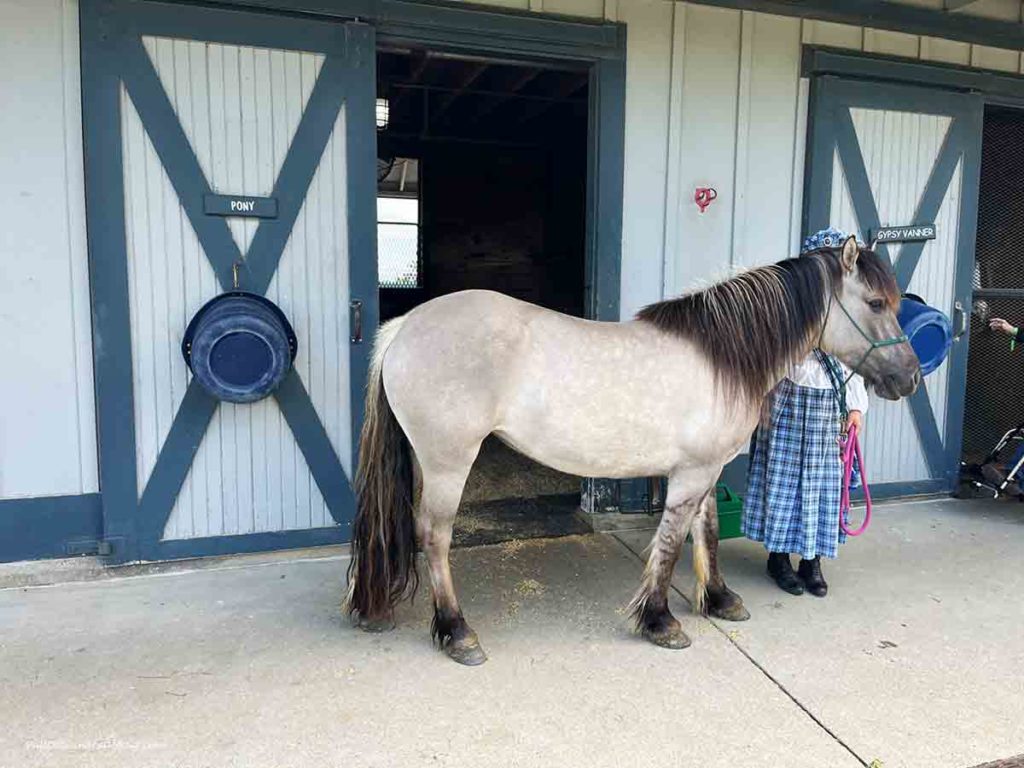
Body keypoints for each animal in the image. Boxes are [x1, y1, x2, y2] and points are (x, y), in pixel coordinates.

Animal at [346, 237, 921, 663]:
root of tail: (405, 327)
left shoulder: (705, 471)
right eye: (875, 303)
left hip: (426, 461)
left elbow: (706, 534)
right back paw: (457, 631)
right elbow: (669, 545)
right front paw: (660, 620)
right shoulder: (690, 475)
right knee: (435, 536)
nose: (910, 378)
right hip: (449, 462)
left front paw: (720, 600)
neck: (722, 357)